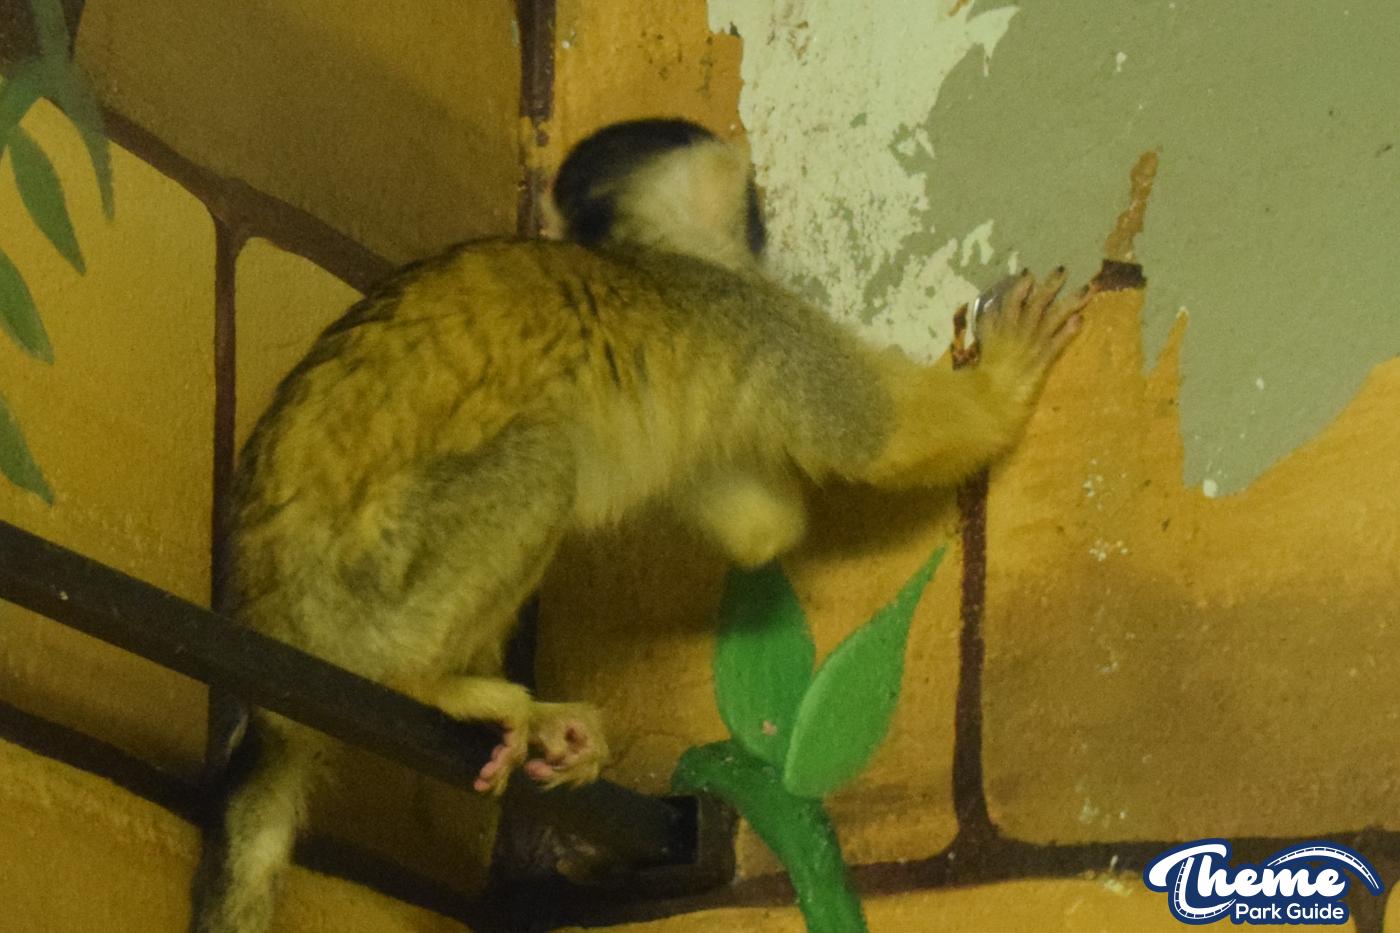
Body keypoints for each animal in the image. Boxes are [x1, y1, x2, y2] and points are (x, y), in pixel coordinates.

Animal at [189, 117, 1087, 933]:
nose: (761, 227)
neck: (641, 250)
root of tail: (267, 626)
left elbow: (758, 525)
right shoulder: (745, 310)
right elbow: (883, 439)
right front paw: (1003, 379)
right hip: (355, 603)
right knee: (544, 462)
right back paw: (425, 679)